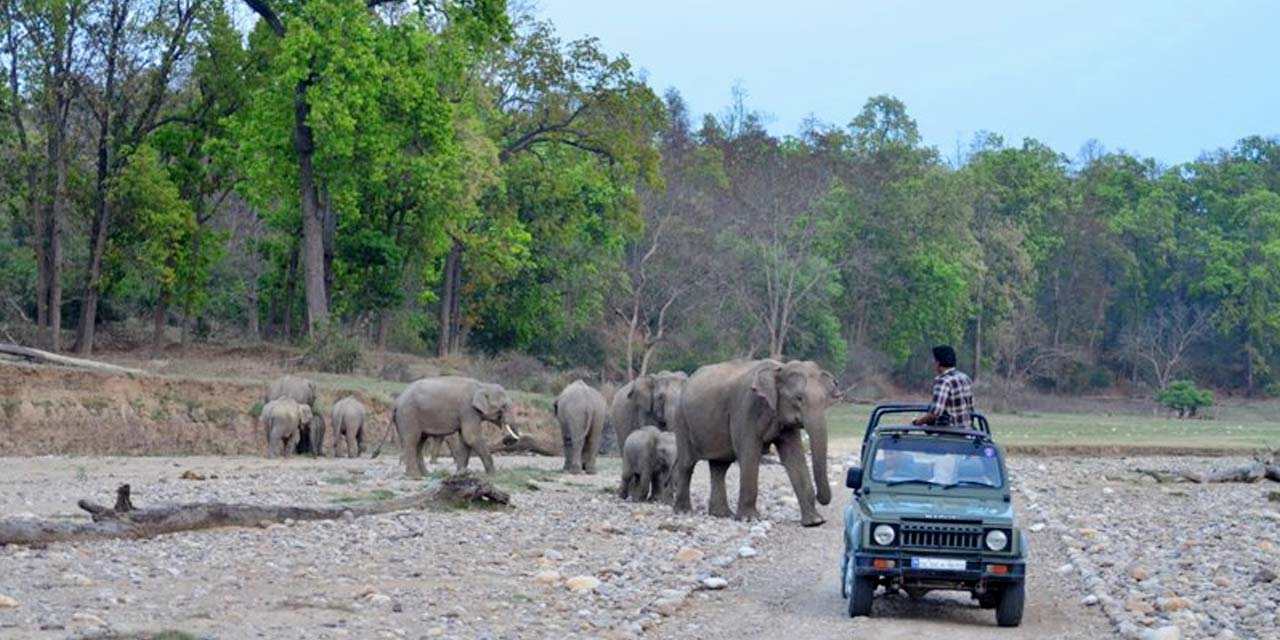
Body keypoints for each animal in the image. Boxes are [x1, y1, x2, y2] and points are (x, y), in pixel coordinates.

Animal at [373, 376, 519, 478]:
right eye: (503, 407)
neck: (482, 385)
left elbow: (465, 439)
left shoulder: (466, 413)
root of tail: (396, 402)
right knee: (412, 441)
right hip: (408, 415)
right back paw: (414, 476)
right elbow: (471, 436)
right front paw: (493, 476)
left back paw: (426, 475)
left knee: (419, 443)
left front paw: (461, 474)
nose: (508, 439)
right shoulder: (467, 410)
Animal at [670, 358, 839, 527]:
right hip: (681, 420)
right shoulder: (745, 408)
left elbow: (794, 457)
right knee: (687, 464)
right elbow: (749, 453)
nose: (820, 498)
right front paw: (749, 519)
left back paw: (721, 514)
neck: (778, 369)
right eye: (799, 398)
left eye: (825, 401)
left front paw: (814, 521)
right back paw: (683, 511)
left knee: (720, 466)